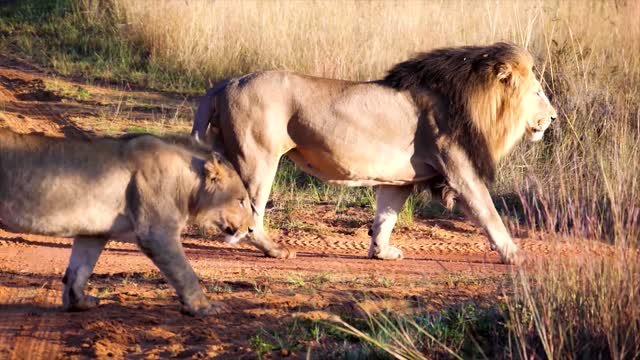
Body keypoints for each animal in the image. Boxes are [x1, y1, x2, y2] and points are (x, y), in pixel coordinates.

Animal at [0, 129, 255, 316]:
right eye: (241, 201)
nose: (251, 229)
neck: (188, 183)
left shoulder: (94, 233)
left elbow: (79, 270)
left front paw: (78, 302)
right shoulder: (157, 233)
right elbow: (185, 272)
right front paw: (204, 307)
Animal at [190, 43, 556, 266]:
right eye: (538, 92)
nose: (553, 118)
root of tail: (226, 83)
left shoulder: (401, 180)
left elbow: (385, 217)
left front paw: (381, 253)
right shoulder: (461, 172)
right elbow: (490, 215)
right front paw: (515, 255)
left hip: (228, 153)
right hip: (259, 158)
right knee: (252, 213)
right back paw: (276, 250)